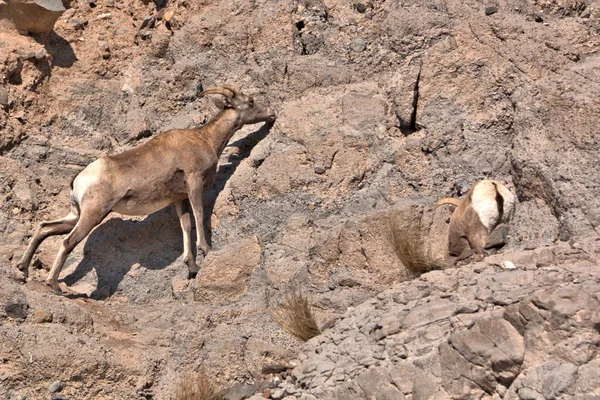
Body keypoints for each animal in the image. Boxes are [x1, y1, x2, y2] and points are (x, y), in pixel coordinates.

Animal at [14, 84, 276, 294]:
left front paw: (192, 267)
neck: (205, 140)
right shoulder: (194, 184)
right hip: (92, 215)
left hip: (75, 214)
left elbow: (186, 225)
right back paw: (53, 285)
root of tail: (80, 178)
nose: (272, 114)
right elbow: (199, 216)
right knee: (68, 242)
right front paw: (207, 251)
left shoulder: (178, 199)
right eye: (250, 102)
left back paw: (23, 269)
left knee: (44, 228)